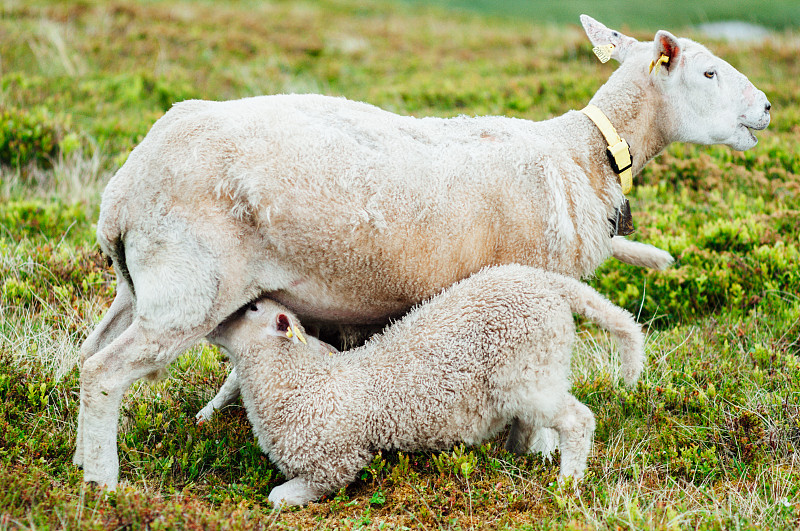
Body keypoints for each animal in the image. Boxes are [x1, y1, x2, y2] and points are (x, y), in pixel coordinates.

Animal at [209, 264, 648, 508]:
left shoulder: (334, 463)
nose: (212, 324)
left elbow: (279, 497)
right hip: (531, 372)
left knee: (577, 420)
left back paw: (568, 482)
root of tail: (547, 282)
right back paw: (514, 455)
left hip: (528, 372)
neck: (302, 382)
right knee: (530, 422)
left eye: (252, 308)